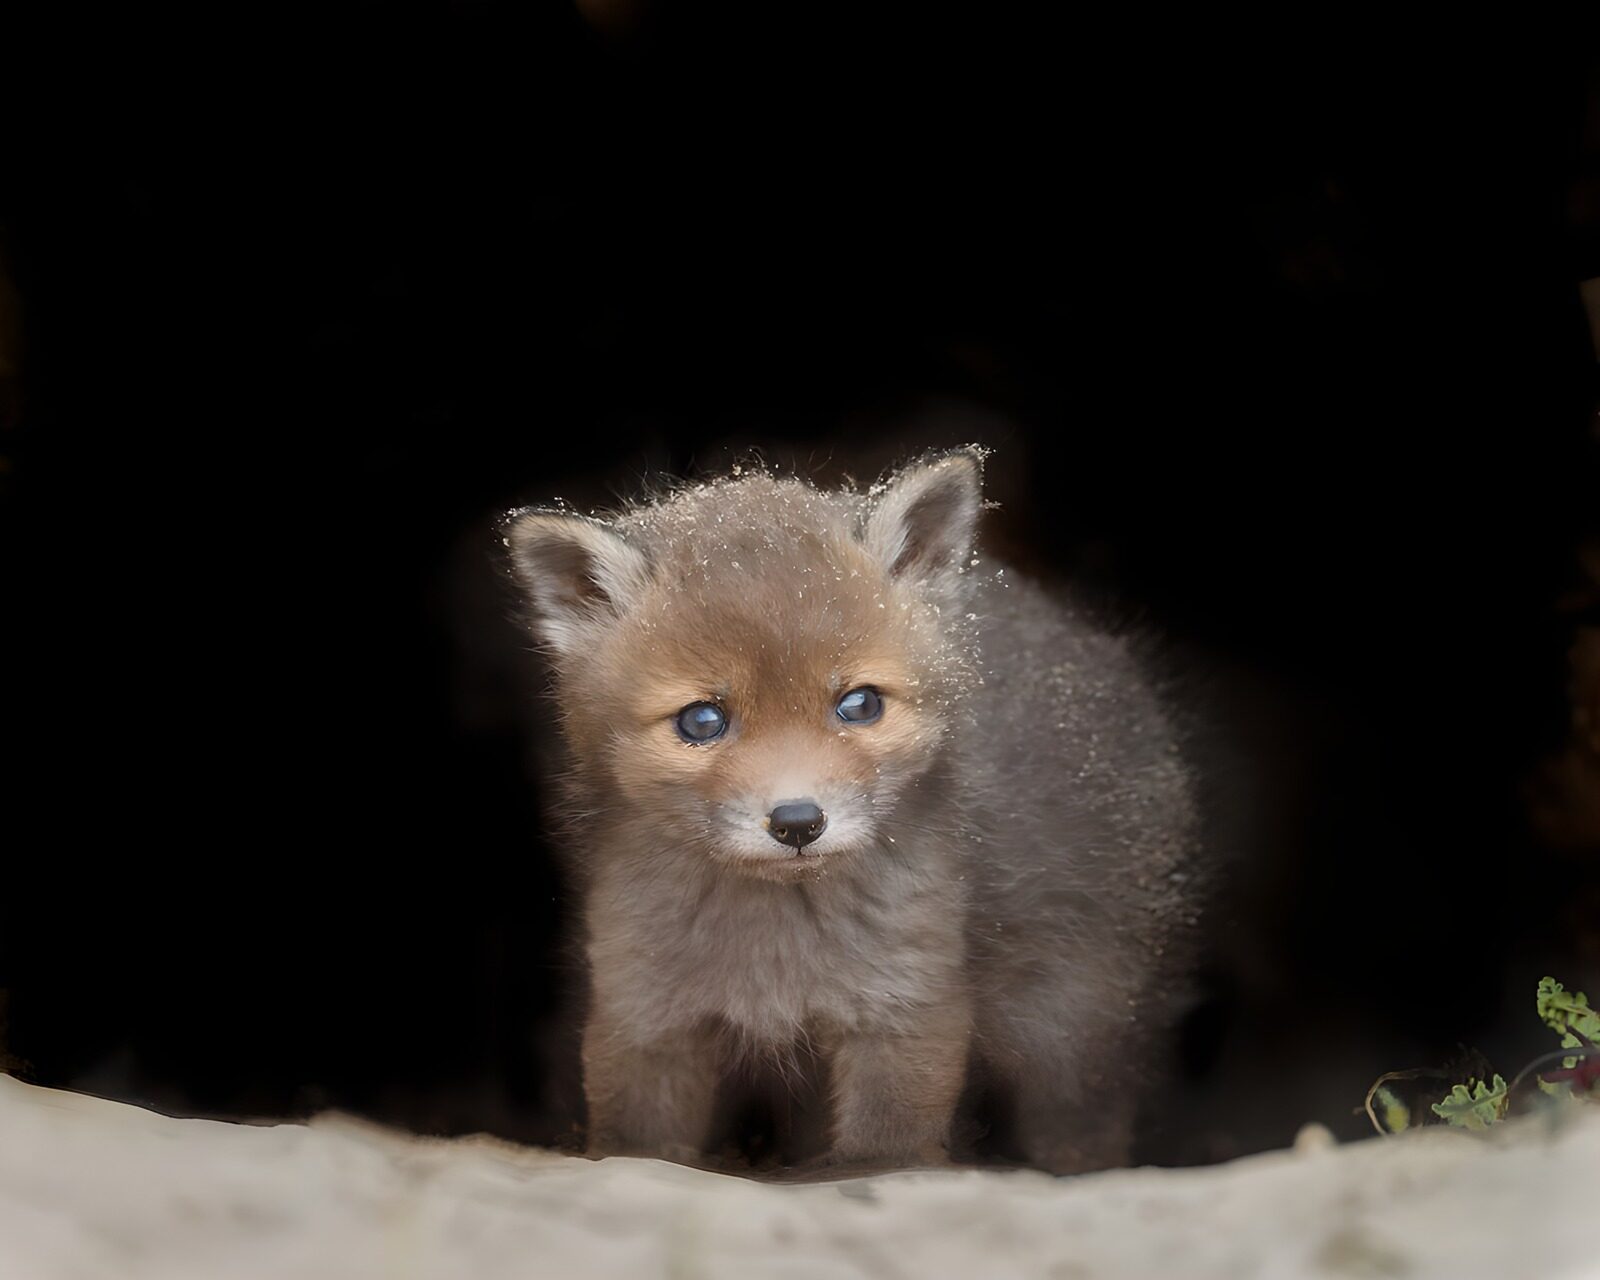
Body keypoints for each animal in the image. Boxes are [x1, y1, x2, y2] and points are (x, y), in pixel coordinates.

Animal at [503, 447, 1202, 1173]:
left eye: (859, 704)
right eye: (702, 720)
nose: (797, 821)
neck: (775, 947)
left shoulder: (906, 1010)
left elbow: (886, 1154)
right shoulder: (641, 1018)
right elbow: (639, 1150)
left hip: (1076, 1032)